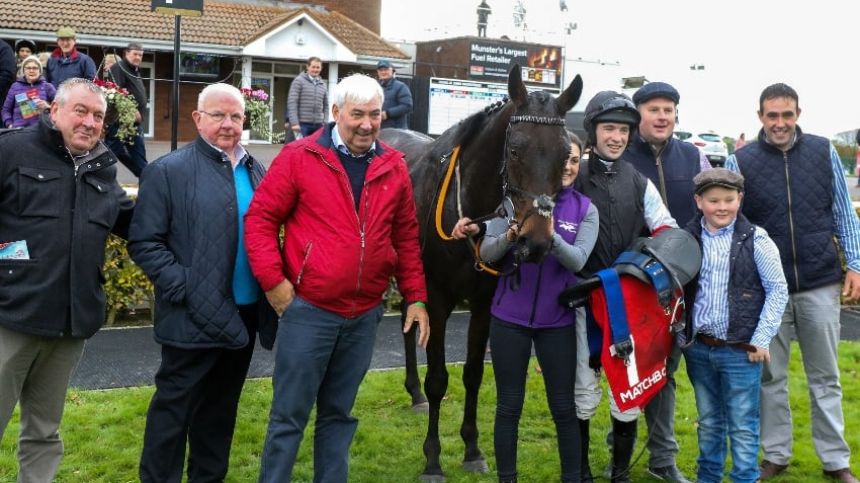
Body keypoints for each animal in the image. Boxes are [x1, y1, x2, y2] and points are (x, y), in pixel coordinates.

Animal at [380, 66, 580, 482]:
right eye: (515, 149)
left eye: (565, 155)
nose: (537, 240)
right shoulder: (438, 295)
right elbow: (439, 379)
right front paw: (433, 459)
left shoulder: (484, 301)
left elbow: (472, 373)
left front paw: (472, 449)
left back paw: (413, 394)